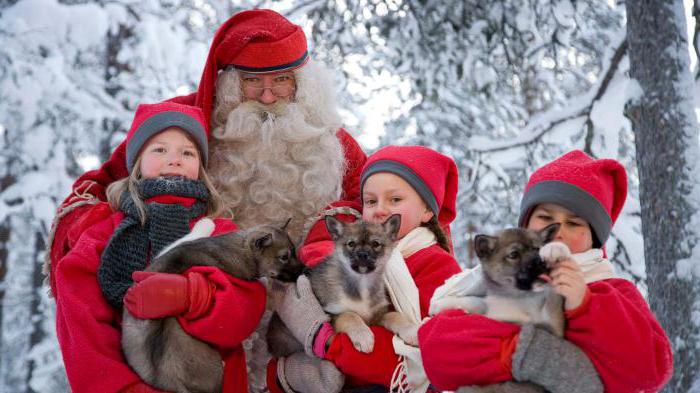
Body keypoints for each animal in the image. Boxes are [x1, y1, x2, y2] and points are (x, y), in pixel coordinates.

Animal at [270, 213, 418, 356]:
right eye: (351, 244)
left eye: (376, 243)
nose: (362, 254)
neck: (362, 282)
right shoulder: (332, 313)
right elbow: (350, 315)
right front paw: (363, 337)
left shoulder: (377, 316)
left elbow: (395, 316)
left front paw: (410, 330)